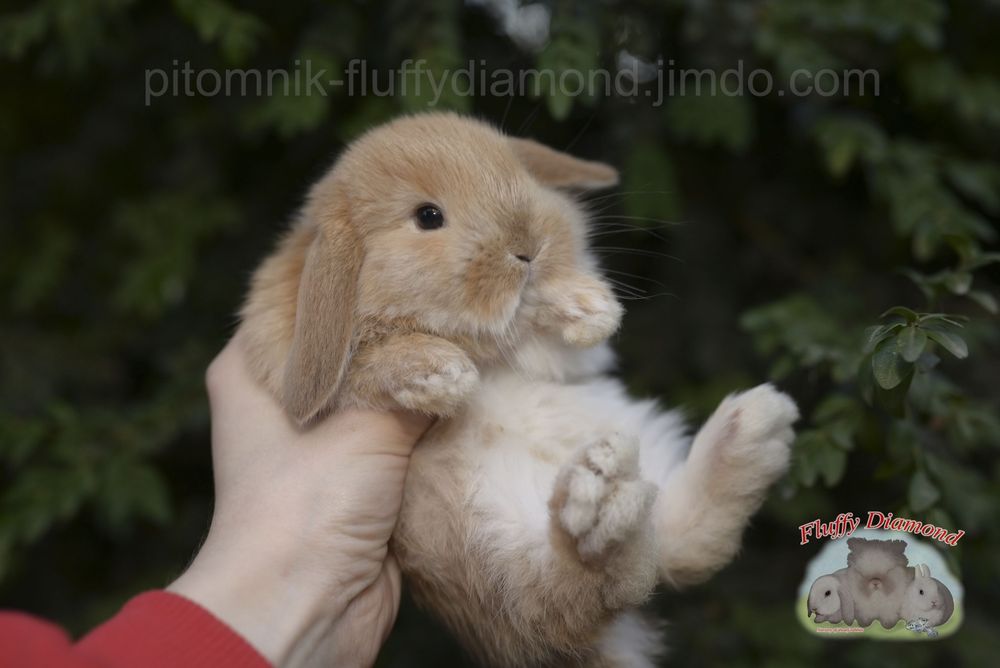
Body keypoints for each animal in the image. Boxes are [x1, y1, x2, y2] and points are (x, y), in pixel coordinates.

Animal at [238, 113, 799, 667]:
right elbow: (365, 366)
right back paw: (608, 502)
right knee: (586, 589)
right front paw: (438, 371)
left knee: (670, 553)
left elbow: (555, 337)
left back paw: (747, 430)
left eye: (520, 176)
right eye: (427, 216)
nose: (528, 248)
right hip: (487, 561)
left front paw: (586, 305)